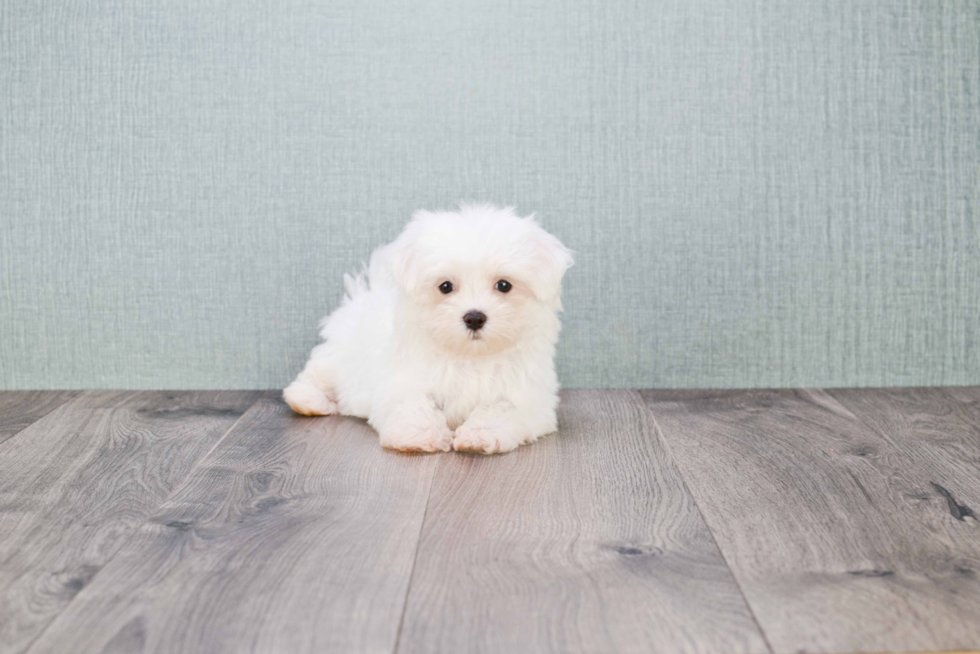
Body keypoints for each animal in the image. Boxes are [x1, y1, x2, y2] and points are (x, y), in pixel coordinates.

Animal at [284, 205, 576, 456]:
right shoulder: (403, 380)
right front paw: (419, 435)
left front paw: (480, 434)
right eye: (445, 286)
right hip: (339, 354)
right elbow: (413, 404)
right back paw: (309, 401)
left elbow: (502, 408)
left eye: (504, 285)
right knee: (316, 374)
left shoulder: (529, 396)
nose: (474, 318)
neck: (470, 357)